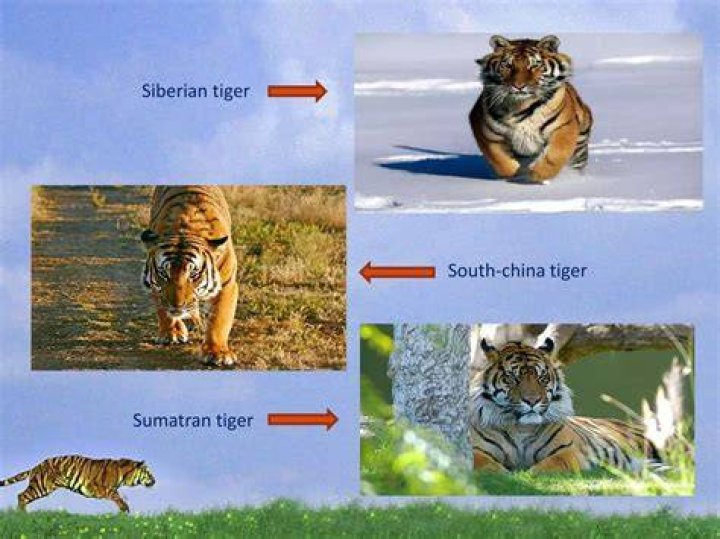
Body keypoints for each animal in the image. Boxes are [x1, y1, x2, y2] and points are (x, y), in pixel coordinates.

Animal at [0, 455, 155, 512]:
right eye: (148, 472)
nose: (155, 480)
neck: (124, 476)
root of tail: (35, 466)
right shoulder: (95, 486)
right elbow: (114, 493)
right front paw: (125, 508)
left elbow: (116, 494)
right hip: (41, 486)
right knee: (22, 496)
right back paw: (22, 515)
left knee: (22, 496)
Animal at [141, 186, 239, 367]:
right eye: (164, 273)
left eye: (194, 274)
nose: (177, 305)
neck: (185, 228)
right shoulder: (156, 285)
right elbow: (163, 308)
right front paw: (171, 333)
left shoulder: (227, 284)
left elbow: (219, 318)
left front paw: (218, 353)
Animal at [469, 35, 593, 183]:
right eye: (508, 65)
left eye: (534, 65)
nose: (519, 86)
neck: (521, 104)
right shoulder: (485, 130)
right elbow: (498, 158)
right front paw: (514, 174)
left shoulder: (564, 126)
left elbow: (556, 153)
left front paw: (537, 173)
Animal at [470, 338, 663, 473]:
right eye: (512, 378)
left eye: (542, 378)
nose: (532, 400)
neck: (521, 429)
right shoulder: (476, 449)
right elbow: (483, 464)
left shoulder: (568, 449)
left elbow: (550, 465)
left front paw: (529, 475)